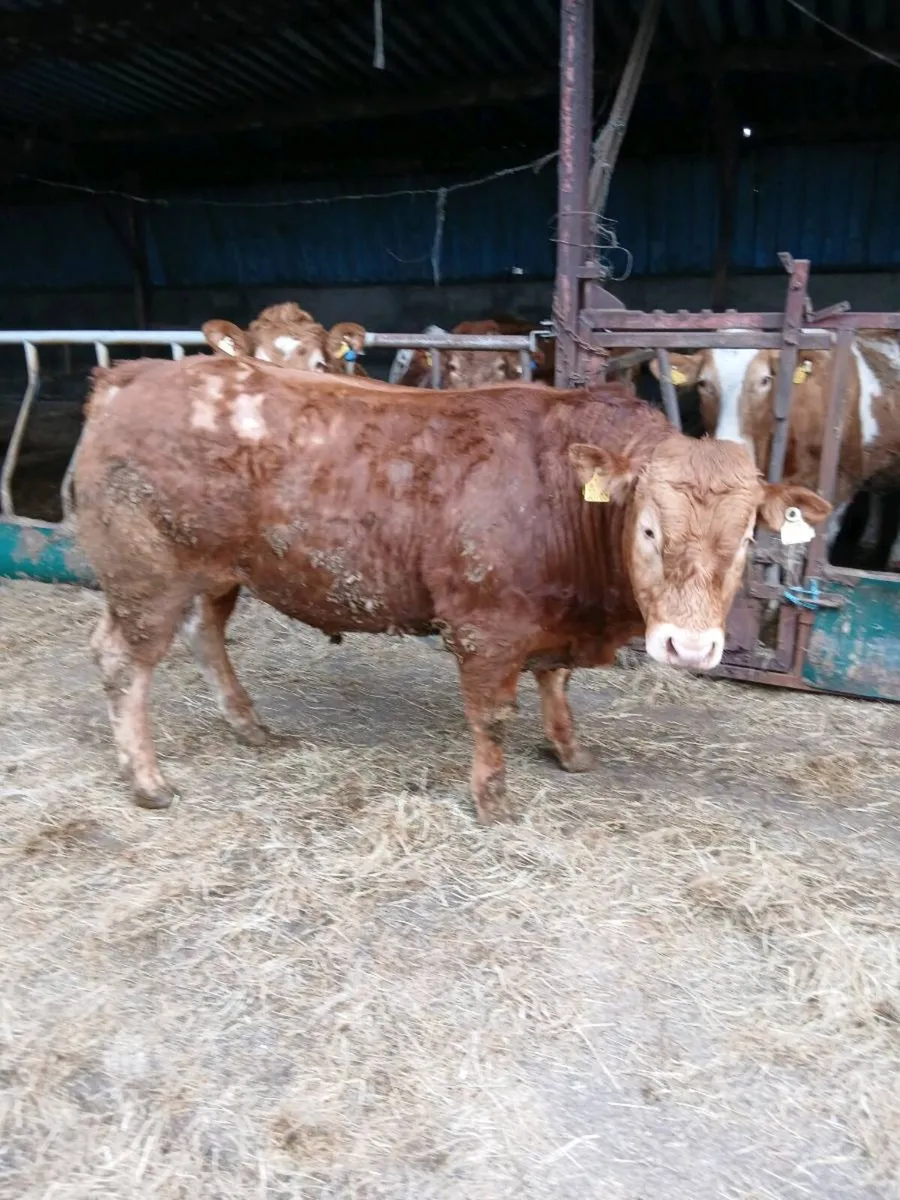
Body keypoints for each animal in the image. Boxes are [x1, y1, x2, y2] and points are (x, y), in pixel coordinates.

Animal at [73, 357, 830, 824]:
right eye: (648, 528)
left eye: (745, 539)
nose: (690, 647)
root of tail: (136, 373)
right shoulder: (486, 626)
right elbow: (491, 717)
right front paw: (492, 800)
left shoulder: (550, 618)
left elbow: (556, 684)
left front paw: (570, 750)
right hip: (148, 576)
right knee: (122, 662)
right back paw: (147, 780)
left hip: (218, 571)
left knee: (207, 636)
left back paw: (249, 726)